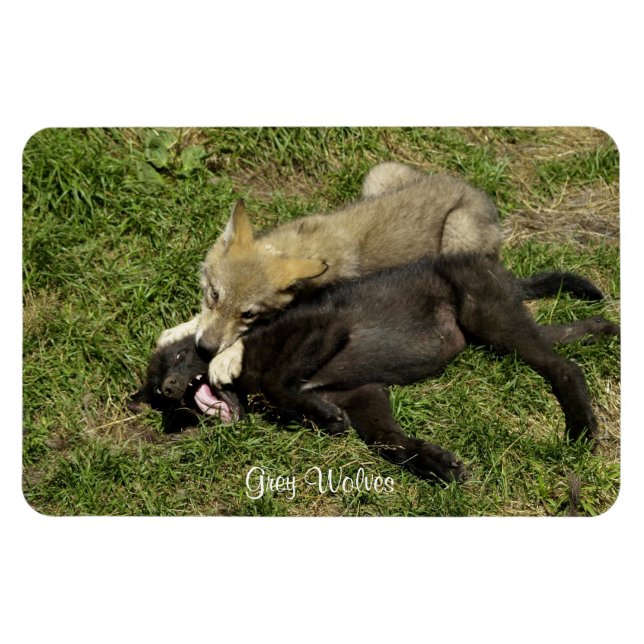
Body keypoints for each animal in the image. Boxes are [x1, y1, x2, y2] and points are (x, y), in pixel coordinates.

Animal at [132, 254, 619, 482]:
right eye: (158, 395)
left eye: (181, 358)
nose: (170, 389)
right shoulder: (364, 394)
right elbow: (391, 444)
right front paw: (439, 465)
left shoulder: (325, 328)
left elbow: (274, 380)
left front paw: (325, 418)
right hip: (502, 328)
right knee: (560, 339)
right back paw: (603, 328)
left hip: (491, 319)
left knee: (563, 367)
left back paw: (581, 428)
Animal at [158, 163, 503, 386]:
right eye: (214, 295)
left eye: (249, 314)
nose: (204, 350)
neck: (297, 247)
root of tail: (478, 192)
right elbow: (200, 321)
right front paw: (179, 330)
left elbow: (256, 334)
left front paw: (225, 360)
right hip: (378, 177)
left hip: (457, 233)